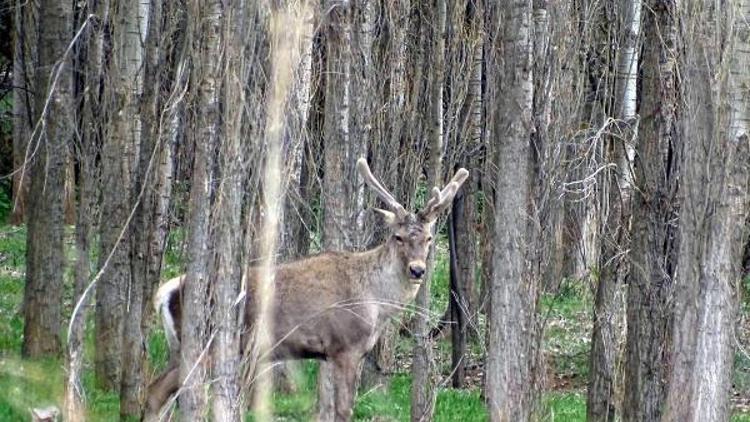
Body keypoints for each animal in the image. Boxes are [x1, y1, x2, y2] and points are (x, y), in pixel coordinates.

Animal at [144, 159, 468, 422]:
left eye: (428, 238)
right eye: (398, 237)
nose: (417, 270)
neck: (375, 302)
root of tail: (165, 292)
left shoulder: (330, 353)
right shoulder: (345, 346)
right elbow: (343, 410)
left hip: (179, 346)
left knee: (160, 391)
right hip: (204, 343)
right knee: (160, 390)